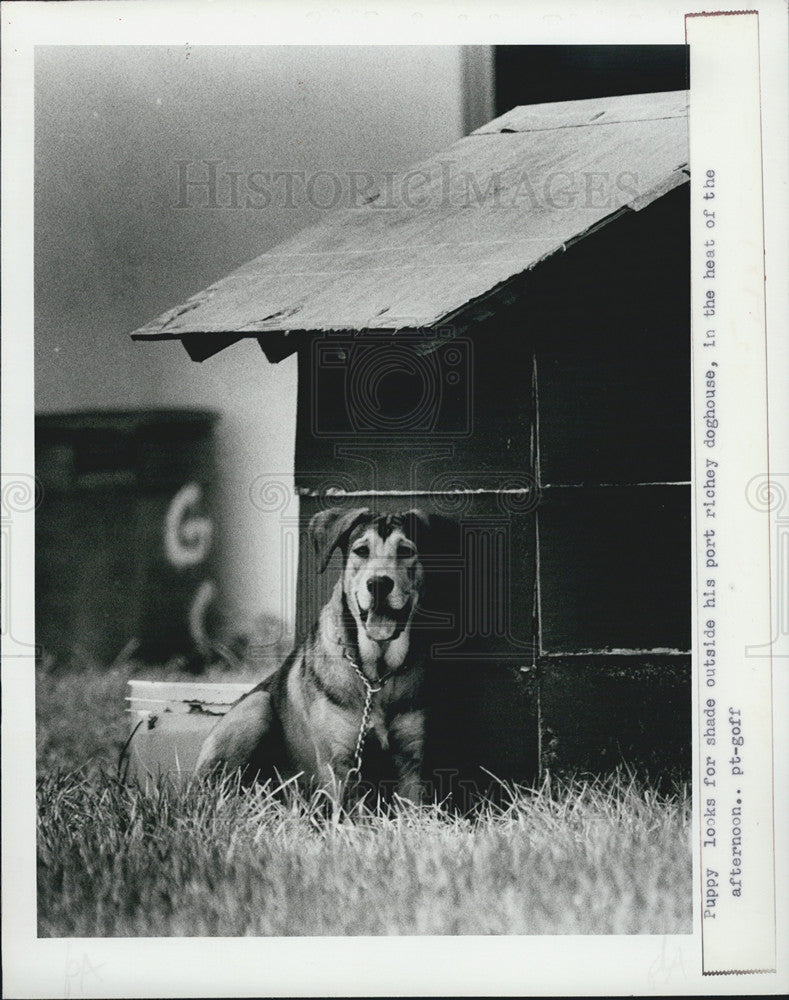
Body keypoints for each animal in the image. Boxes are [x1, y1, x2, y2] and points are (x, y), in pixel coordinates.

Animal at [193, 508, 450, 804]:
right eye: (361, 551)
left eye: (406, 551)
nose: (378, 583)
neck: (376, 672)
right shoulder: (339, 762)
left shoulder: (411, 763)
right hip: (255, 707)